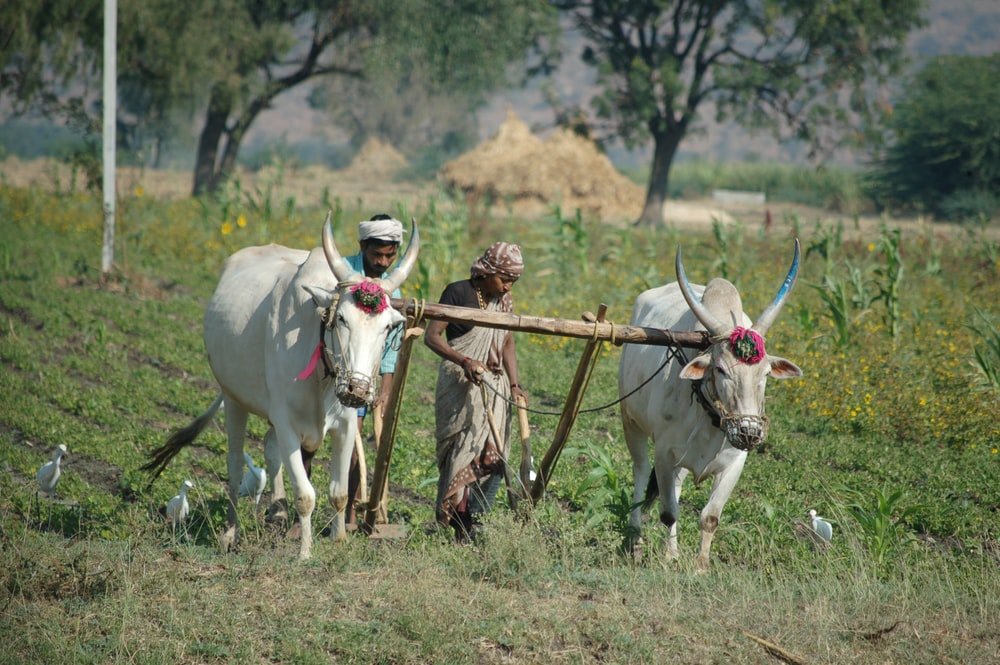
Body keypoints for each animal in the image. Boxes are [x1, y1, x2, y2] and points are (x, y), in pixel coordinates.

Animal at [143, 213, 418, 560]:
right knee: (236, 466)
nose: (356, 389)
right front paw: (305, 553)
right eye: (341, 318)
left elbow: (339, 492)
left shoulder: (345, 424)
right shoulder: (287, 421)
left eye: (388, 326)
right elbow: (306, 494)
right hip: (233, 398)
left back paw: (277, 511)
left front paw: (339, 540)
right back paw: (231, 532)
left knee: (270, 449)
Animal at [618, 240, 802, 570]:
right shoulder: (663, 453)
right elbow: (669, 512)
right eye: (720, 369)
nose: (749, 432)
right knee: (640, 473)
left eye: (766, 373)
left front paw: (700, 566)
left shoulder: (735, 462)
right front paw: (671, 557)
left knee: (675, 486)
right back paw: (636, 538)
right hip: (632, 423)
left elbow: (710, 517)